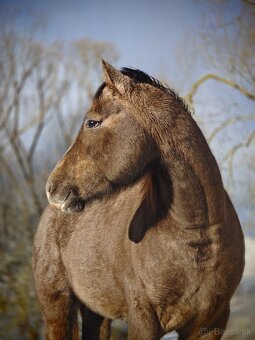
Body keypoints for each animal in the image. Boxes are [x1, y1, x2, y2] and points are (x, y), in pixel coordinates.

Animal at [32, 61, 244, 340]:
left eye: (92, 122)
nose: (51, 187)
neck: (199, 234)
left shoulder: (210, 325)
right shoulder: (144, 320)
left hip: (97, 312)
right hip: (57, 308)